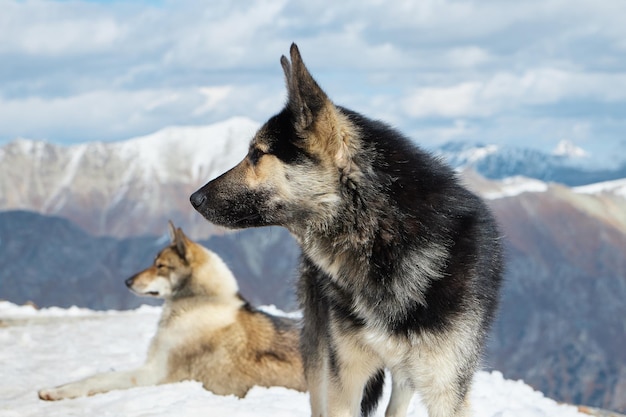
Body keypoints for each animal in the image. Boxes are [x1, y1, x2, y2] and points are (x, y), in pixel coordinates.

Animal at [36, 221, 304, 400]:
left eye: (160, 266)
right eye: (154, 262)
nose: (127, 281)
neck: (199, 302)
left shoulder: (153, 373)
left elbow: (99, 377)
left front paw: (56, 393)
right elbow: (94, 374)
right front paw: (56, 387)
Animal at [190, 44, 502, 416]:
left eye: (257, 154)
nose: (194, 198)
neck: (384, 237)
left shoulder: (447, 389)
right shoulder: (346, 377)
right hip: (320, 352)